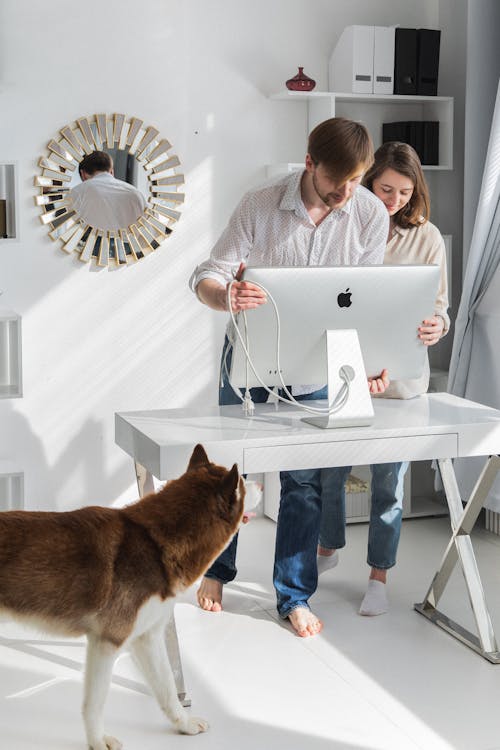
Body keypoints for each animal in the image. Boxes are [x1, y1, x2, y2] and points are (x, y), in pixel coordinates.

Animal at [0, 446, 244, 750]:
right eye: (244, 486)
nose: (259, 484)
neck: (156, 543)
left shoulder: (147, 639)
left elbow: (167, 688)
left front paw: (184, 724)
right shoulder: (107, 642)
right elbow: (95, 703)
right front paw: (97, 741)